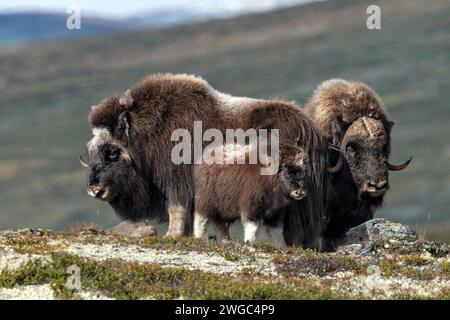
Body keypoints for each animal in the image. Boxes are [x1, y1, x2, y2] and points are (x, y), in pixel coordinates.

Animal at [80, 73, 338, 238]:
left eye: (112, 152)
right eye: (91, 149)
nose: (94, 190)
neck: (149, 134)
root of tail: (311, 129)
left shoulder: (177, 183)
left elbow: (176, 210)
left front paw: (171, 236)